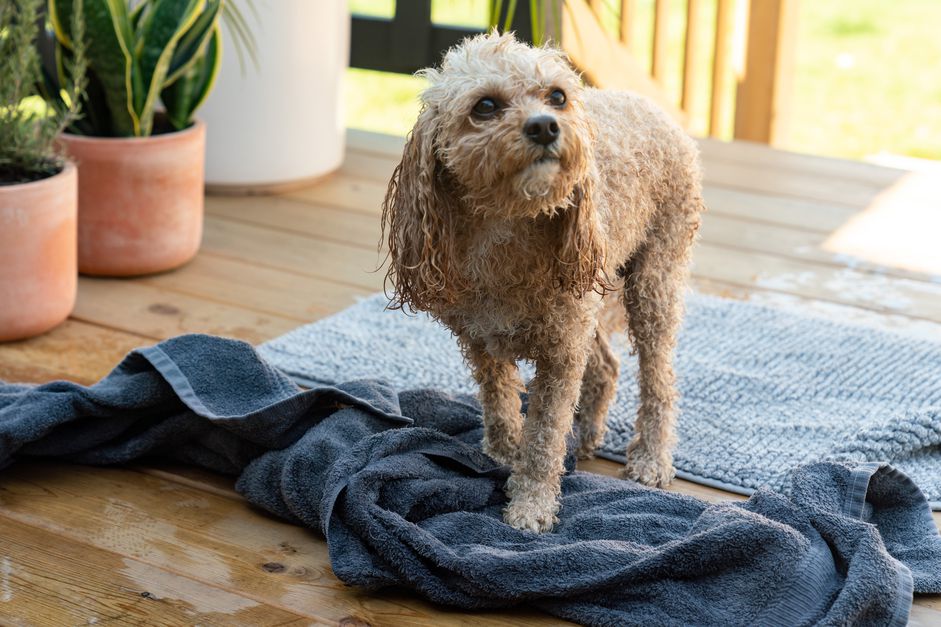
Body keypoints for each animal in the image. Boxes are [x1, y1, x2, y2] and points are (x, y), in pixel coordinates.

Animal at [382, 29, 704, 528]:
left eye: (557, 97)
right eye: (485, 106)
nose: (545, 126)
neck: (506, 230)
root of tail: (650, 107)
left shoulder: (562, 351)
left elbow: (544, 436)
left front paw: (531, 505)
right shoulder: (482, 339)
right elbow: (498, 403)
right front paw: (502, 452)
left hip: (653, 282)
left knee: (659, 380)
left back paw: (651, 458)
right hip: (589, 297)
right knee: (606, 367)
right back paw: (586, 432)